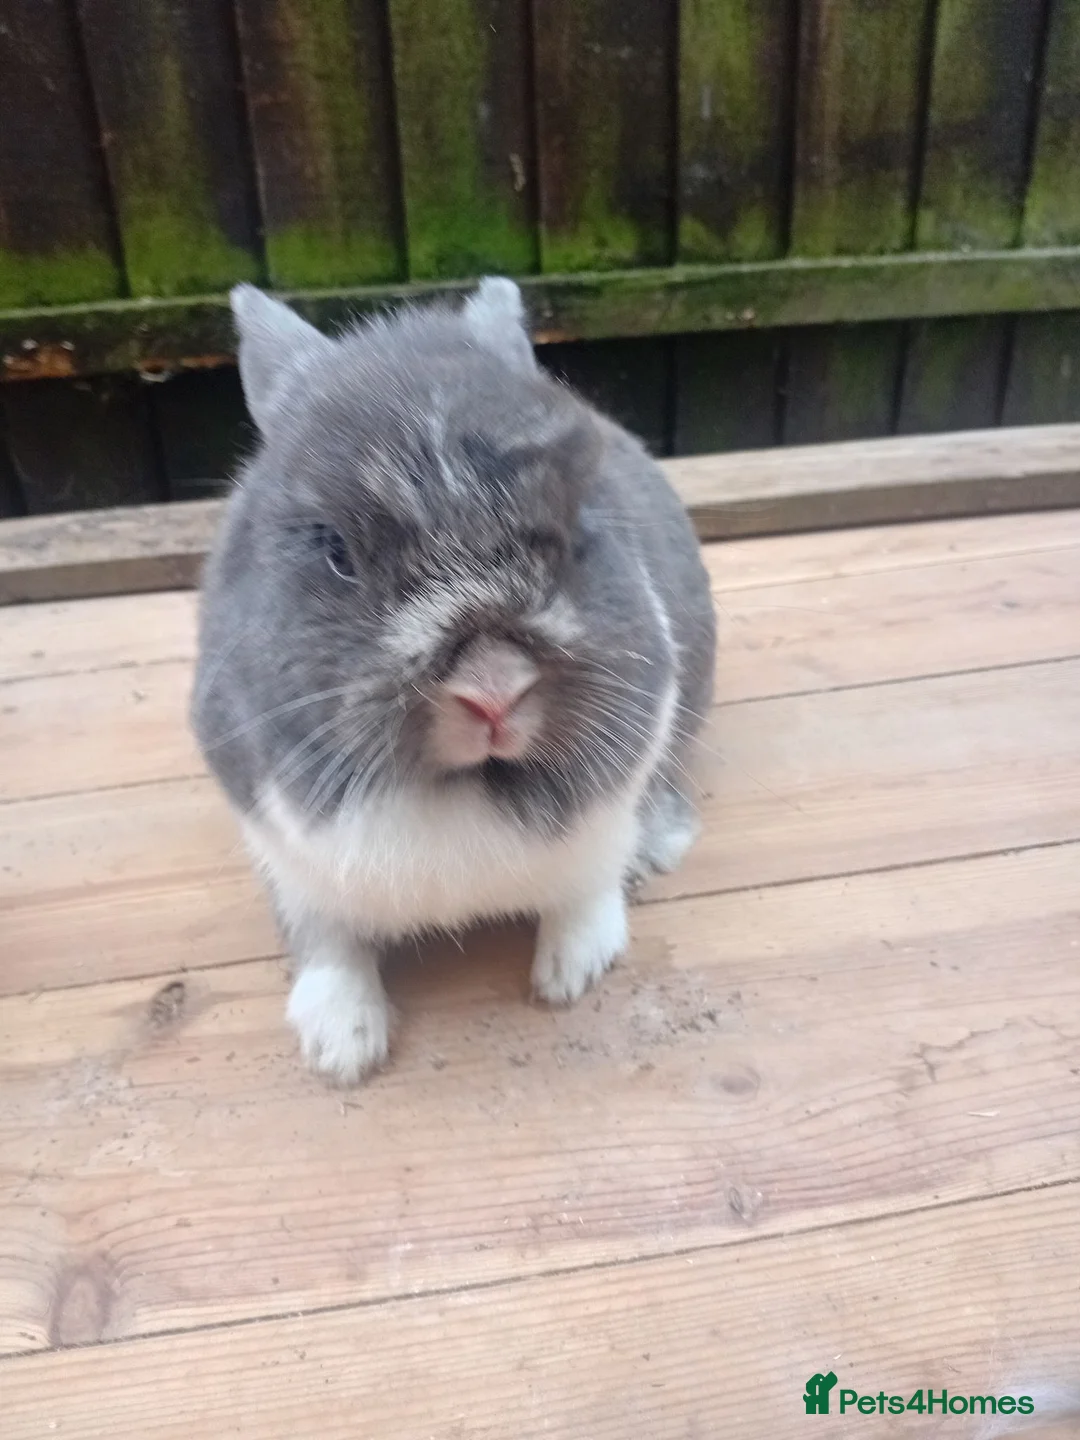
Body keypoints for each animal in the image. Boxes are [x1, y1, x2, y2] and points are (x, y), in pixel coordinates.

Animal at [191, 277, 716, 1085]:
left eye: (574, 531)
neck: (457, 790)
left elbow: (584, 895)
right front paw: (342, 1048)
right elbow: (327, 948)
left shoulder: (604, 821)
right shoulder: (289, 858)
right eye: (337, 554)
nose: (495, 692)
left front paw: (568, 975)